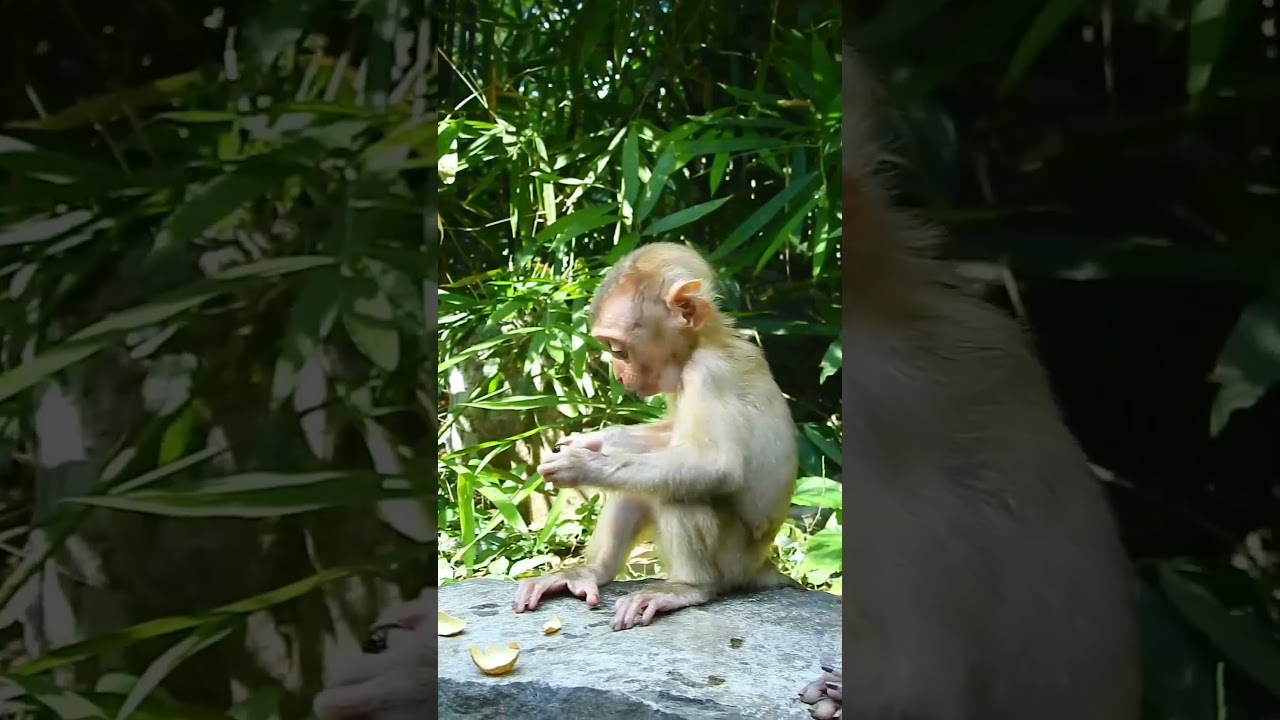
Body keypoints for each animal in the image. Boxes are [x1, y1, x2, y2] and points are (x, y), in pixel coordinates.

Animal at [510, 242, 800, 632]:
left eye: (619, 350)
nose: (619, 375)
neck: (703, 343)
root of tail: (761, 565)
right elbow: (669, 434)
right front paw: (593, 443)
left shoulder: (708, 374)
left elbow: (717, 466)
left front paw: (581, 465)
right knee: (638, 486)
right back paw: (591, 571)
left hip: (733, 560)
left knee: (684, 492)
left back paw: (688, 587)